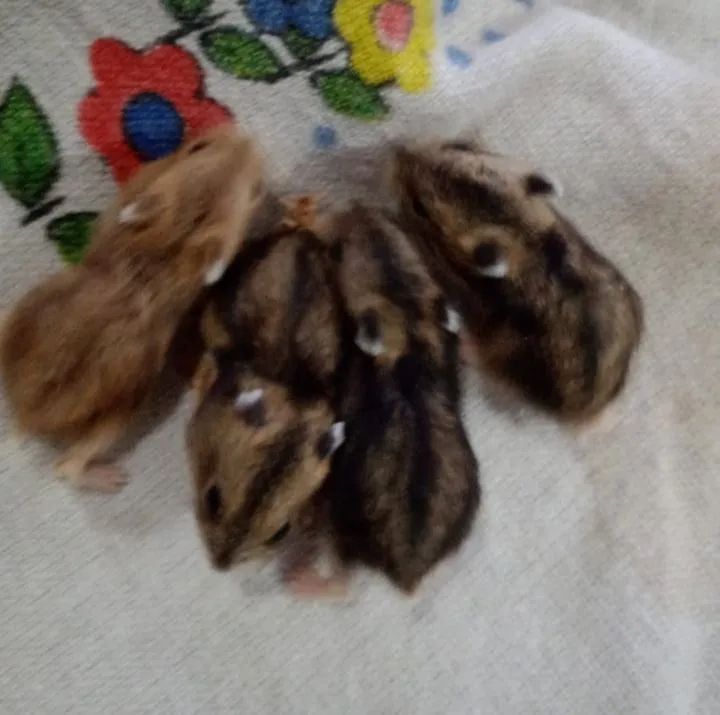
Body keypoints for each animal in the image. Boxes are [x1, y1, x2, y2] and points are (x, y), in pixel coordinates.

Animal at [0, 125, 265, 493]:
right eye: (197, 147)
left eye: (256, 190)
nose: (246, 132)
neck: (175, 237)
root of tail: (24, 415)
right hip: (119, 414)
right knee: (66, 468)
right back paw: (114, 479)